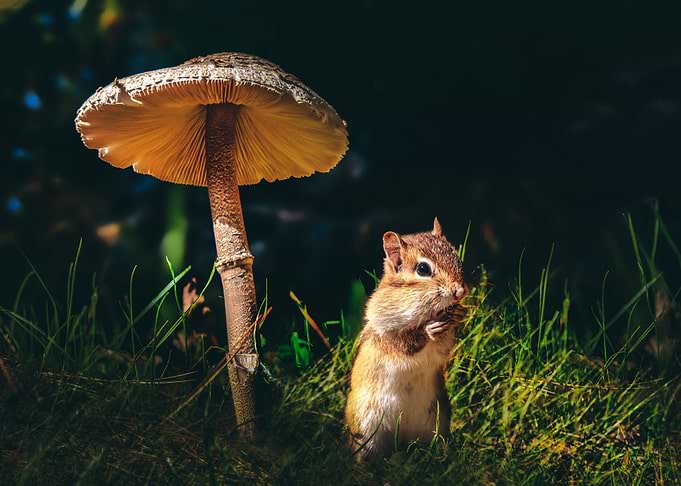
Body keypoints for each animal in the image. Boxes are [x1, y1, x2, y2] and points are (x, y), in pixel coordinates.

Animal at [345, 217, 468, 462]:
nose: (460, 291)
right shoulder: (383, 329)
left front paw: (456, 316)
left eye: (456, 256)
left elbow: (443, 349)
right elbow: (402, 343)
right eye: (423, 269)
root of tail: (399, 441)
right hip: (365, 428)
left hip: (437, 421)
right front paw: (427, 331)